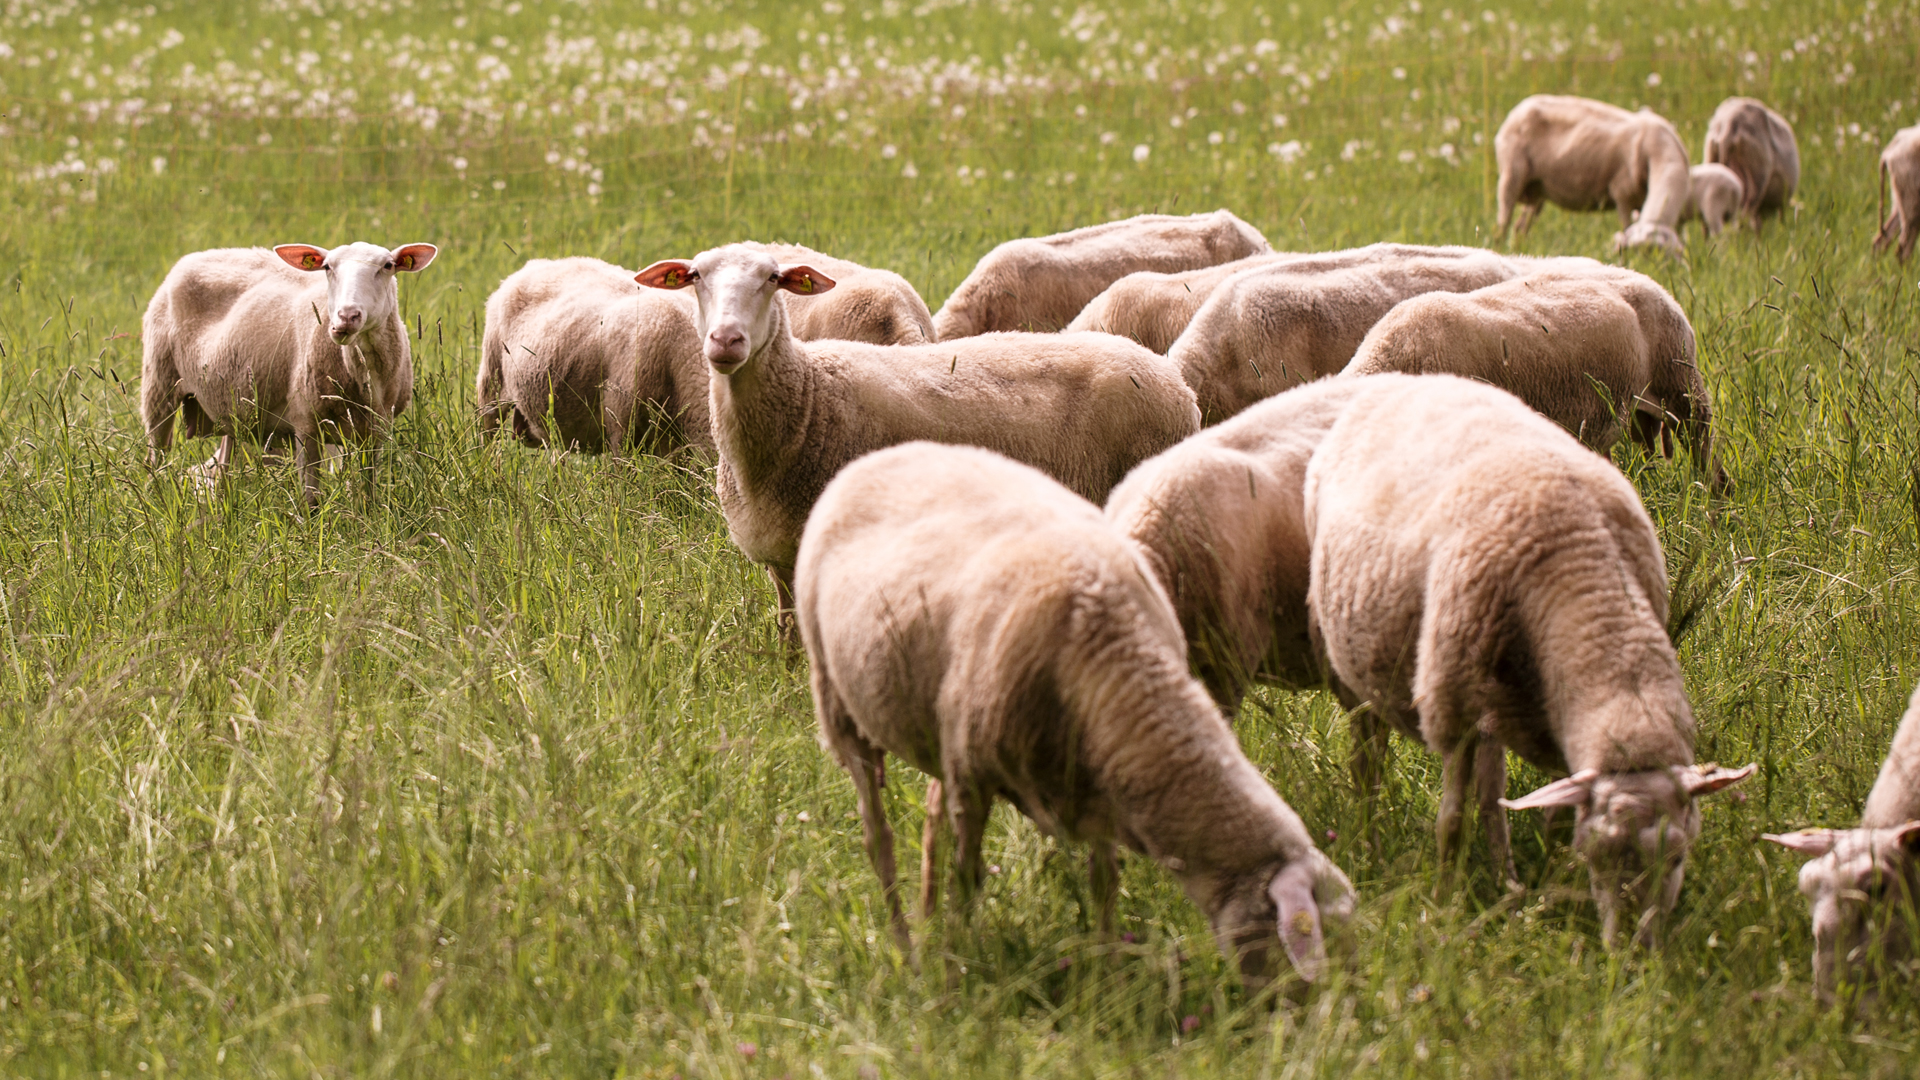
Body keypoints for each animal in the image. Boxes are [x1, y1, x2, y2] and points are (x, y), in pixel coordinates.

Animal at [140, 241, 438, 506]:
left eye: (388, 266)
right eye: (327, 267)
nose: (346, 317)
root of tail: (194, 257)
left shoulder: (376, 431)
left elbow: (368, 492)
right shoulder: (306, 423)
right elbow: (310, 499)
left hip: (230, 404)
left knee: (223, 464)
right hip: (159, 384)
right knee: (157, 456)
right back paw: (158, 499)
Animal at [635, 243, 1201, 631]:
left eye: (773, 279)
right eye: (695, 277)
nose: (726, 340)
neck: (809, 399)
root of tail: (1177, 384)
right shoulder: (781, 553)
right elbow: (790, 635)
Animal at [796, 439, 1355, 986]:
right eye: (1298, 938)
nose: (1301, 1010)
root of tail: (881, 455)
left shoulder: (1101, 782)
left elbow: (1104, 882)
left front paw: (1107, 973)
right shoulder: (973, 776)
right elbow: (968, 881)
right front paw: (957, 973)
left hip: (937, 725)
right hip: (837, 699)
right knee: (879, 837)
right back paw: (906, 952)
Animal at [1303, 374, 1753, 945]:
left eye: (1677, 857)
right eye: (1597, 854)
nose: (1633, 951)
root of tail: (1415, 380)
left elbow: (1545, 813)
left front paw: (1550, 883)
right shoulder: (1451, 706)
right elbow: (1451, 820)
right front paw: (1444, 905)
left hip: (1495, 697)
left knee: (1492, 792)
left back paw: (1508, 882)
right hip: (1357, 667)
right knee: (1369, 761)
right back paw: (1368, 843)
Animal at [1493, 95, 1691, 256]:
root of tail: (1520, 107)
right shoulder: (1622, 194)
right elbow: (1625, 226)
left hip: (1537, 190)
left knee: (1520, 227)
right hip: (1511, 175)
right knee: (1503, 224)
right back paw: (1500, 249)